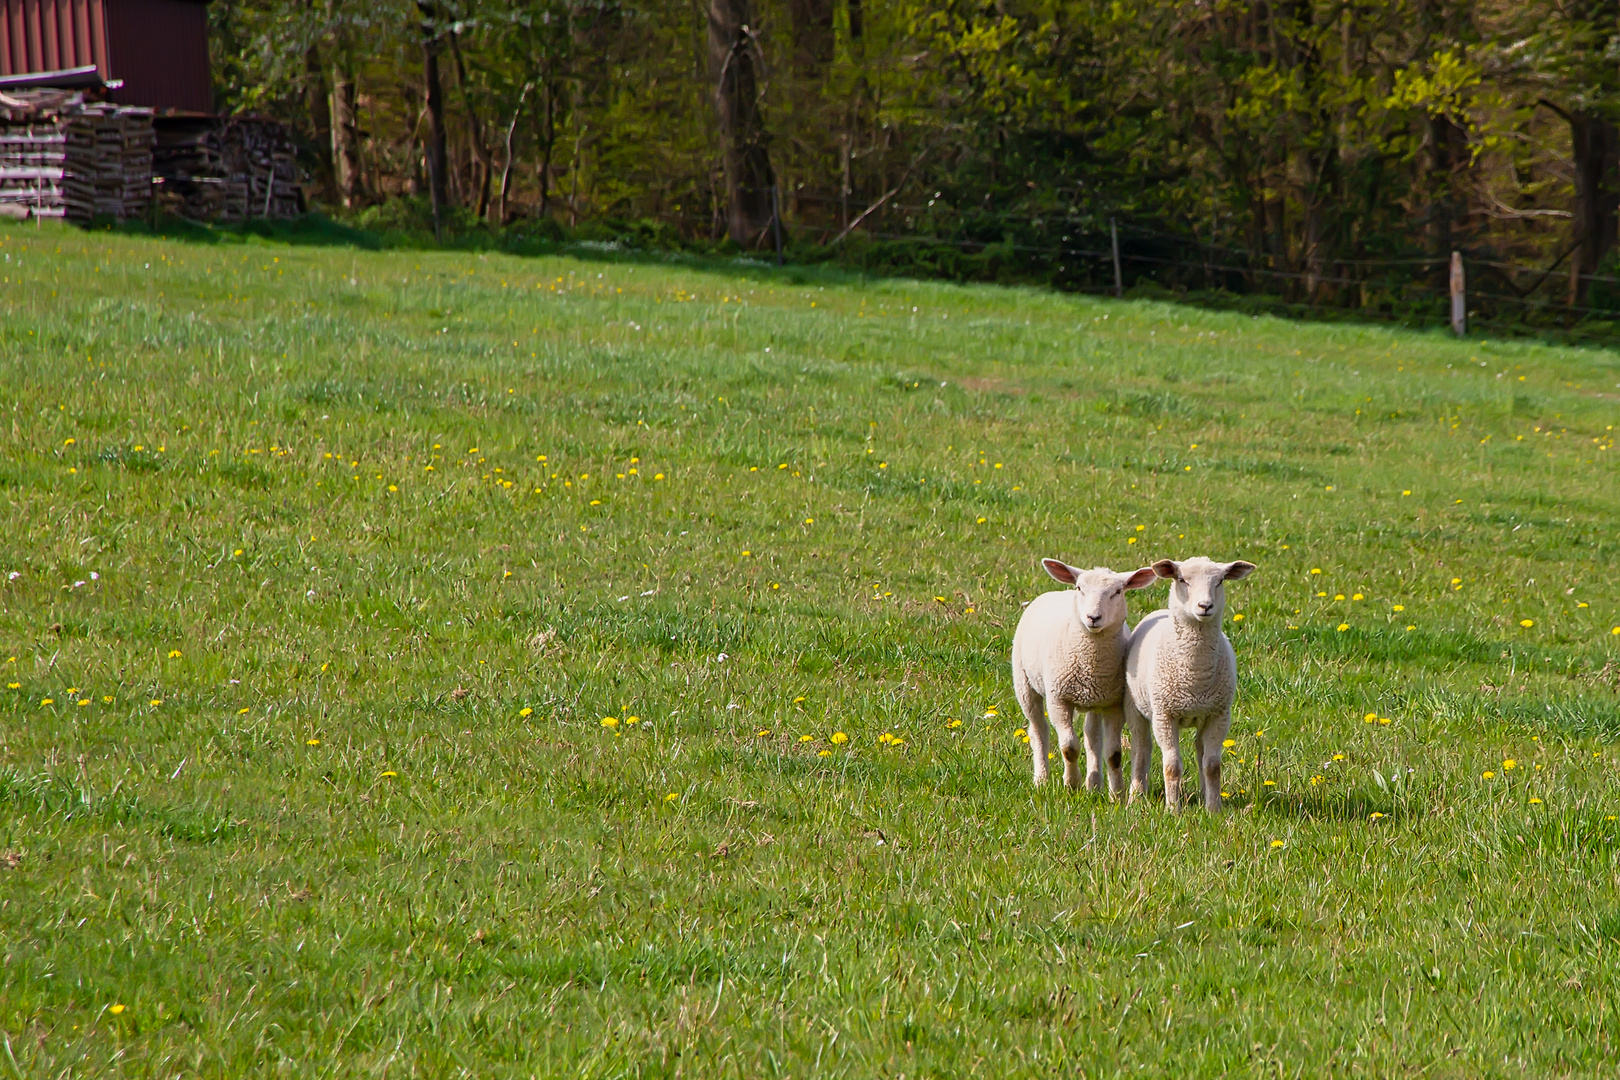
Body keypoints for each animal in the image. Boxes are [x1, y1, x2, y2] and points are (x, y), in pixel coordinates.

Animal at [1004, 563, 1159, 790]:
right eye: (1080, 588)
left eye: (1117, 591)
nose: (1093, 618)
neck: (1089, 662)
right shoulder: (1058, 699)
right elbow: (1069, 747)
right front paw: (1071, 784)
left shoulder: (1113, 703)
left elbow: (1113, 754)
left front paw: (1117, 792)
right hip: (1024, 683)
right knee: (1038, 729)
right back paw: (1041, 779)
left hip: (1095, 699)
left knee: (1092, 736)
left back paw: (1094, 784)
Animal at [1127, 557, 1250, 809]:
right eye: (1182, 580)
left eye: (1220, 581)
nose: (1205, 606)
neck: (1195, 676)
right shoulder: (1164, 715)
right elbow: (1172, 766)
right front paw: (1173, 809)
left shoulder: (1219, 715)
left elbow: (1212, 766)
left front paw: (1214, 809)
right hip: (1136, 708)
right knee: (1141, 748)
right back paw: (1135, 797)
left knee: (1200, 751)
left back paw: (1204, 795)